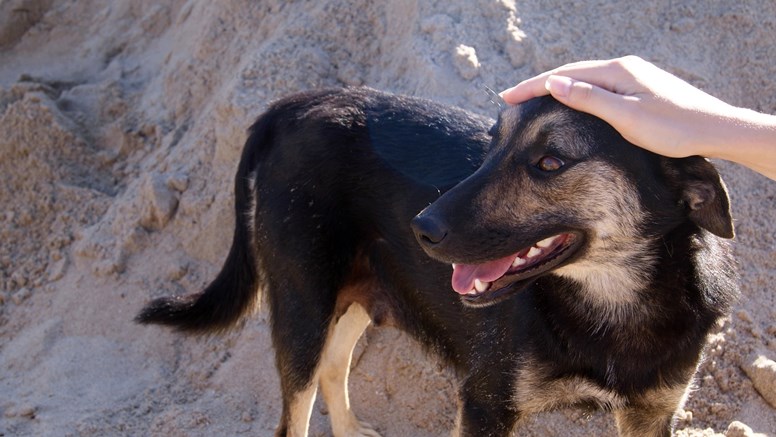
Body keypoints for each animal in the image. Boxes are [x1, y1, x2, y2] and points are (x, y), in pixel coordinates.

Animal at [138, 87, 740, 436]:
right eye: (491, 145)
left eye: (550, 162)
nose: (421, 228)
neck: (615, 304)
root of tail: (303, 101)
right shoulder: (485, 403)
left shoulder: (650, 412)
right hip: (302, 303)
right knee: (298, 409)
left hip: (365, 291)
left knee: (334, 365)